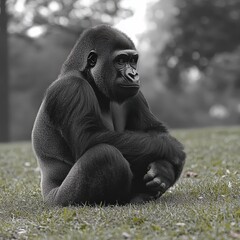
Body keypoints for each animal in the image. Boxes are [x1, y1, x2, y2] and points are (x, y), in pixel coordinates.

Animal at [31, 25, 186, 206]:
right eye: (121, 60)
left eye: (133, 60)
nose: (134, 75)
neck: (88, 77)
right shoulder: (70, 88)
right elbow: (89, 137)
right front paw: (173, 149)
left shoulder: (135, 94)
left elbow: (154, 131)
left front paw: (163, 169)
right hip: (58, 200)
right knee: (105, 155)